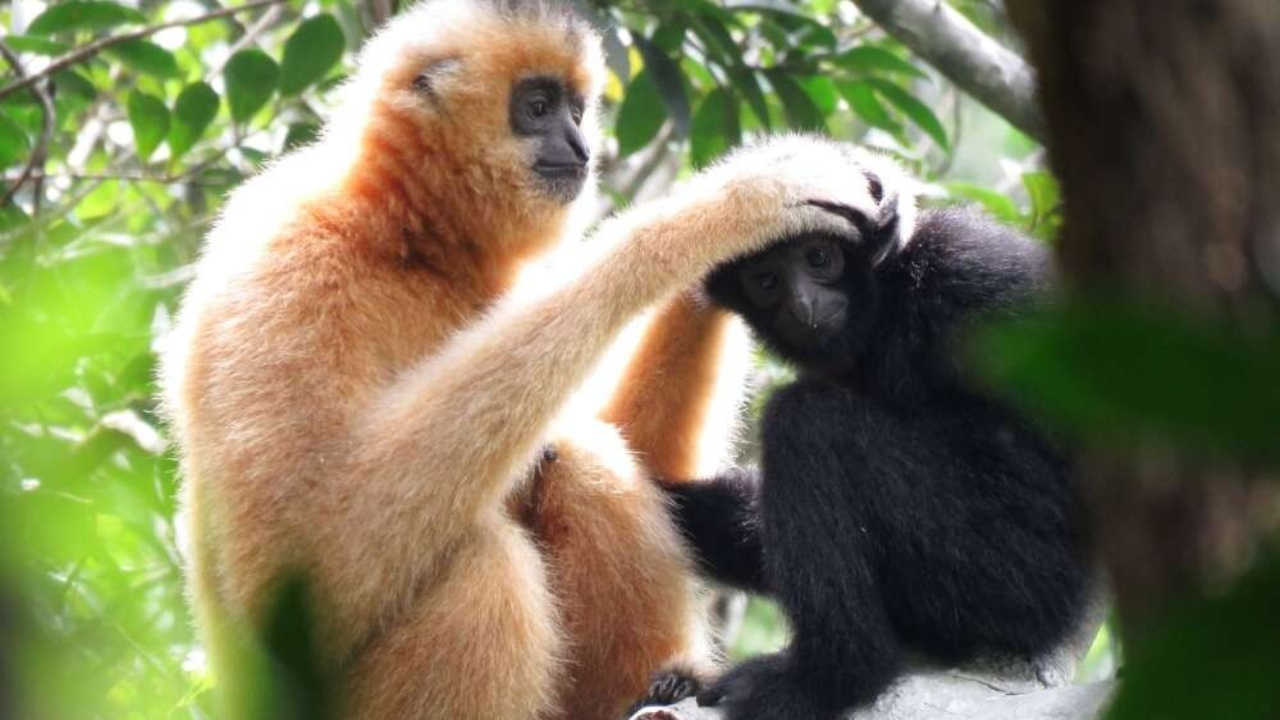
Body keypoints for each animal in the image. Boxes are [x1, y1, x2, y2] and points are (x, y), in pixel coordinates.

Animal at [158, 1, 885, 718]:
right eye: (536, 107)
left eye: (576, 110)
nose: (581, 147)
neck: (410, 240)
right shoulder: (287, 254)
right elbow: (299, 546)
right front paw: (707, 218)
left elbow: (644, 455)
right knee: (486, 565)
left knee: (581, 459)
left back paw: (660, 687)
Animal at [640, 158, 1093, 720]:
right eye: (766, 281)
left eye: (819, 258)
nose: (804, 304)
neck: (891, 302)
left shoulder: (971, 274)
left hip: (1013, 573)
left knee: (808, 422)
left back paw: (831, 678)